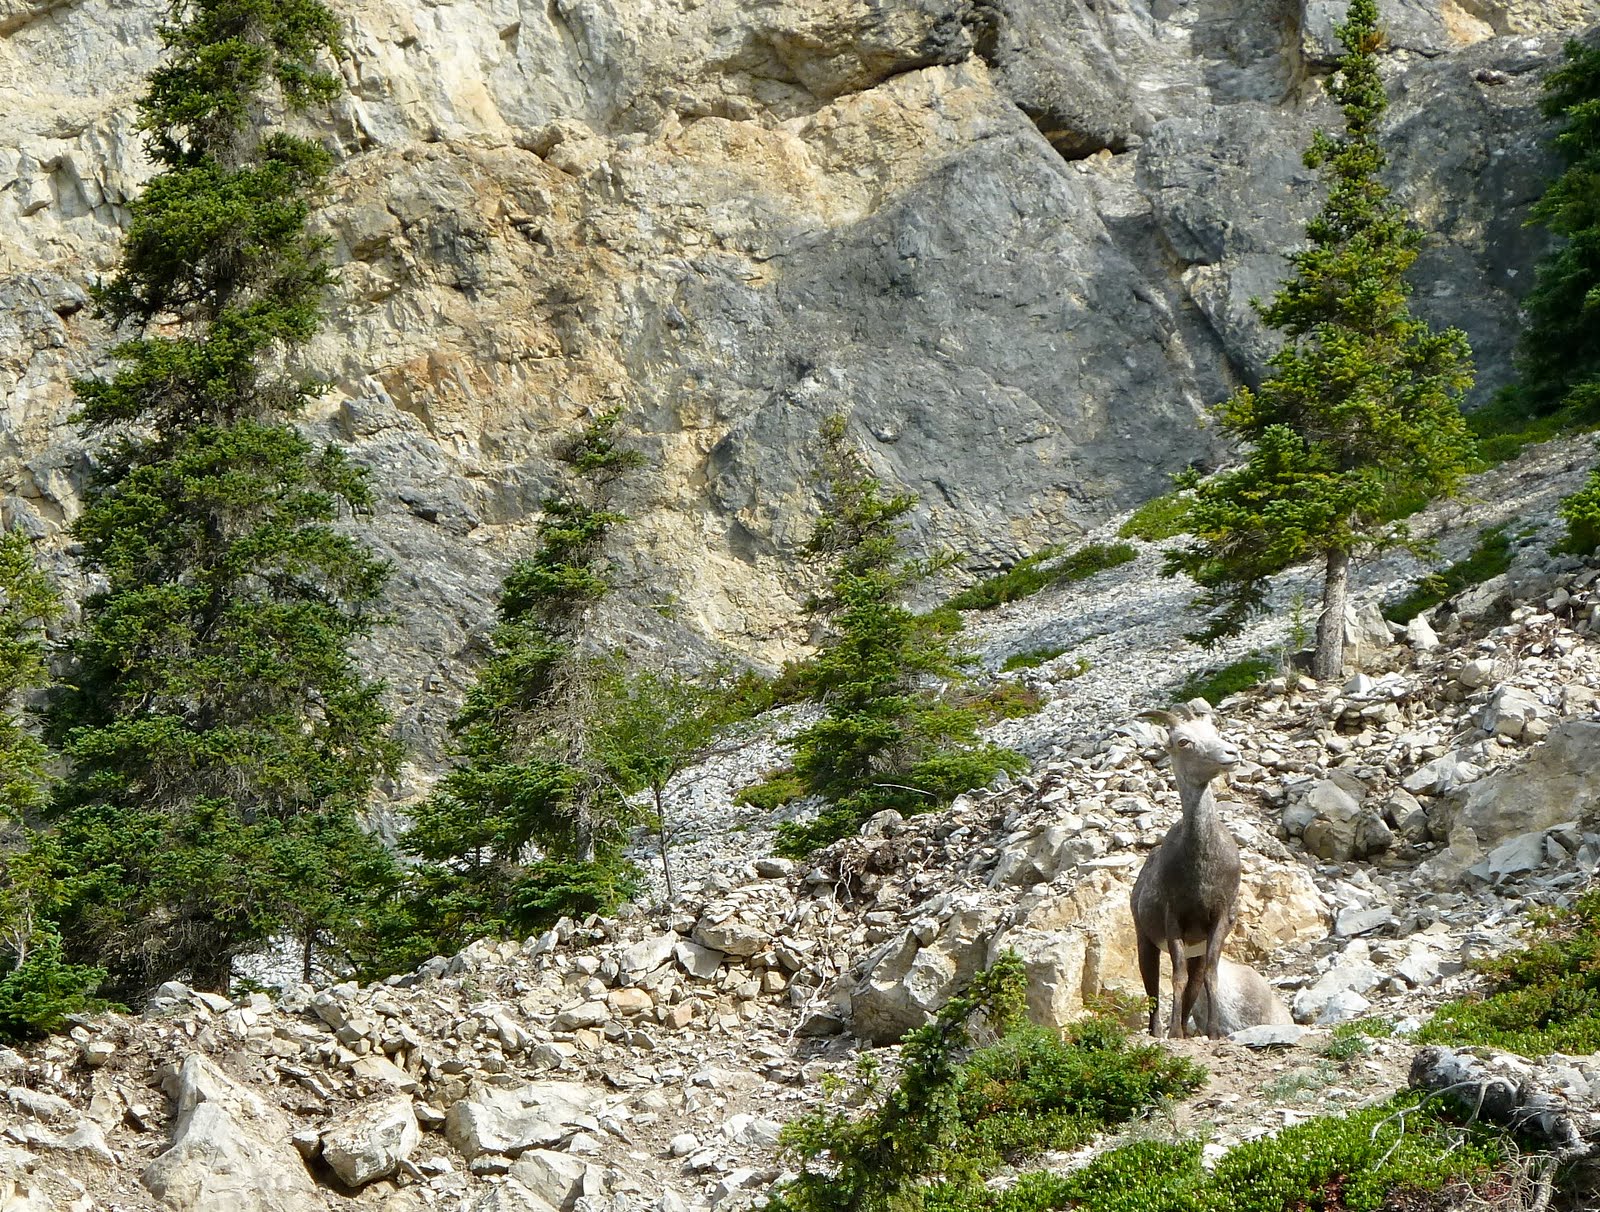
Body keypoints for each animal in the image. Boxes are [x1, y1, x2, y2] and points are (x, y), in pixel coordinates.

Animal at [1129, 704, 1243, 1039]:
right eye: (1183, 741)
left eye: (1215, 732)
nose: (1231, 752)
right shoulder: (1174, 919)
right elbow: (1175, 977)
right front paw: (1174, 1035)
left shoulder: (1219, 918)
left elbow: (1210, 976)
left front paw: (1214, 1033)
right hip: (1145, 942)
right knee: (1152, 987)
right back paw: (1158, 1031)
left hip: (1197, 951)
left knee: (1194, 984)